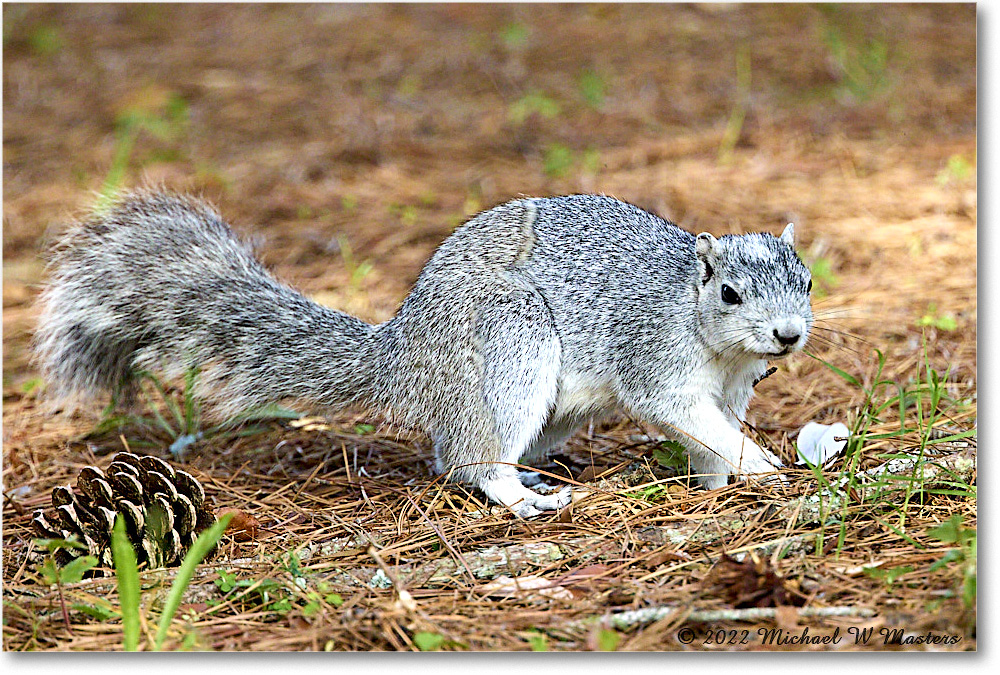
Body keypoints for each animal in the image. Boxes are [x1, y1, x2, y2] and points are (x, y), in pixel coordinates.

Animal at [35, 190, 812, 516]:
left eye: (806, 280)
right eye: (731, 294)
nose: (789, 335)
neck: (706, 331)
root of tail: (406, 348)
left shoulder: (731, 387)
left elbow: (713, 431)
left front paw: (719, 480)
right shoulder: (655, 360)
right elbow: (688, 415)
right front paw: (766, 467)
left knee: (454, 454)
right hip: (509, 344)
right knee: (471, 459)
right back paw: (522, 498)